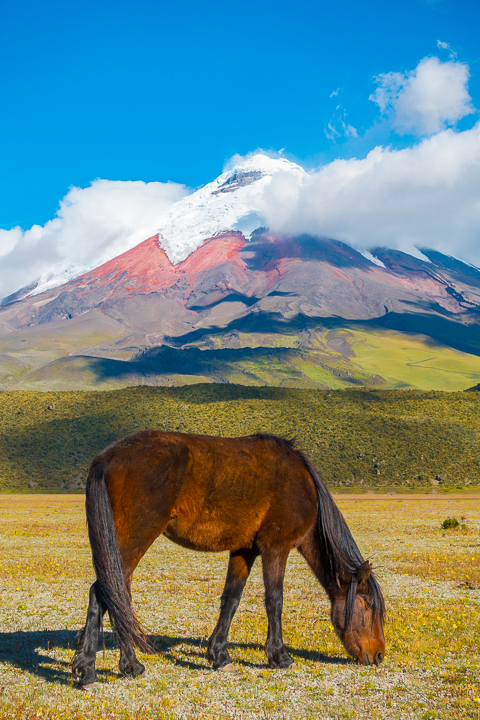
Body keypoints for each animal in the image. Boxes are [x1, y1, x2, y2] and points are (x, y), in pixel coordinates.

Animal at [72, 430, 386, 688]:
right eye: (369, 605)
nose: (380, 655)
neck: (302, 485)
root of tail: (108, 456)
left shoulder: (244, 550)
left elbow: (231, 600)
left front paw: (219, 655)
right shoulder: (276, 548)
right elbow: (275, 601)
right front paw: (280, 656)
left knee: (116, 593)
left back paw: (110, 666)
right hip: (135, 537)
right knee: (106, 591)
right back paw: (102, 670)